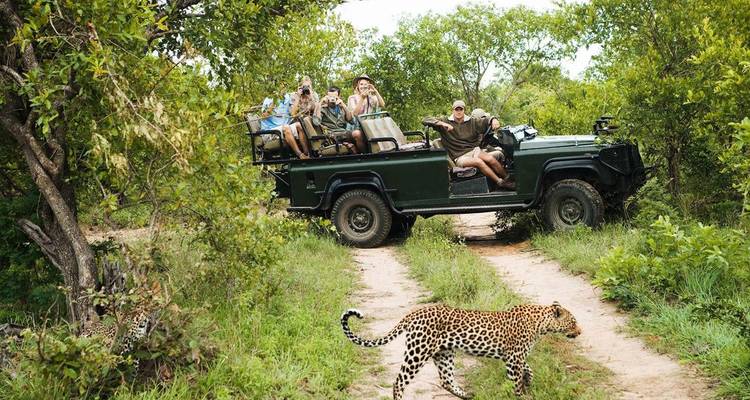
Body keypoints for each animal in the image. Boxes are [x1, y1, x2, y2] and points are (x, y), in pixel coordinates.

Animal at [341, 301, 581, 399]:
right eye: (573, 322)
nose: (580, 331)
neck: (541, 323)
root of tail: (412, 314)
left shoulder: (513, 357)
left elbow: (528, 369)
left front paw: (529, 380)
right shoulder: (514, 358)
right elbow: (516, 381)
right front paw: (520, 394)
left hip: (444, 353)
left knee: (446, 380)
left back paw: (468, 395)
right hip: (418, 351)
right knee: (399, 381)